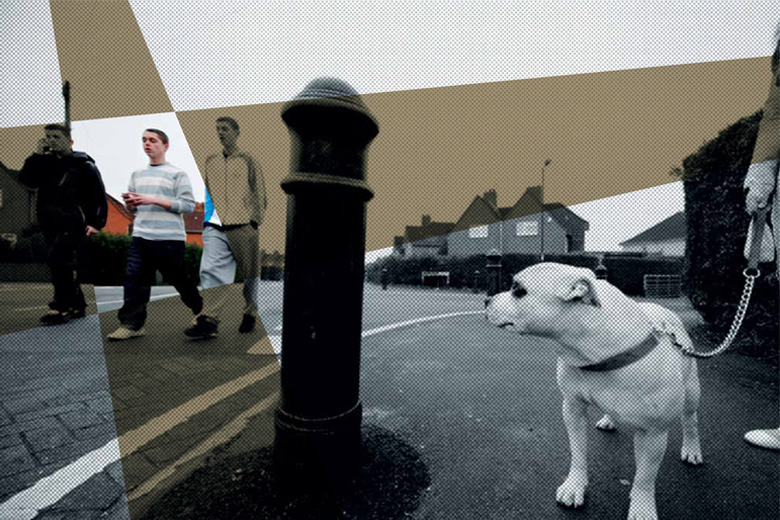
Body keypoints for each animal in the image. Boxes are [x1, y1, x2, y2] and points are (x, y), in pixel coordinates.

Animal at [484, 264, 704, 520]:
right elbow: (578, 453)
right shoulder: (573, 410)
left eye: (518, 290)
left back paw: (692, 449)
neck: (596, 351)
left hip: (691, 392)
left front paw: (641, 506)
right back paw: (609, 419)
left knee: (690, 421)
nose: (487, 300)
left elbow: (645, 476)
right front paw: (575, 486)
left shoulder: (653, 433)